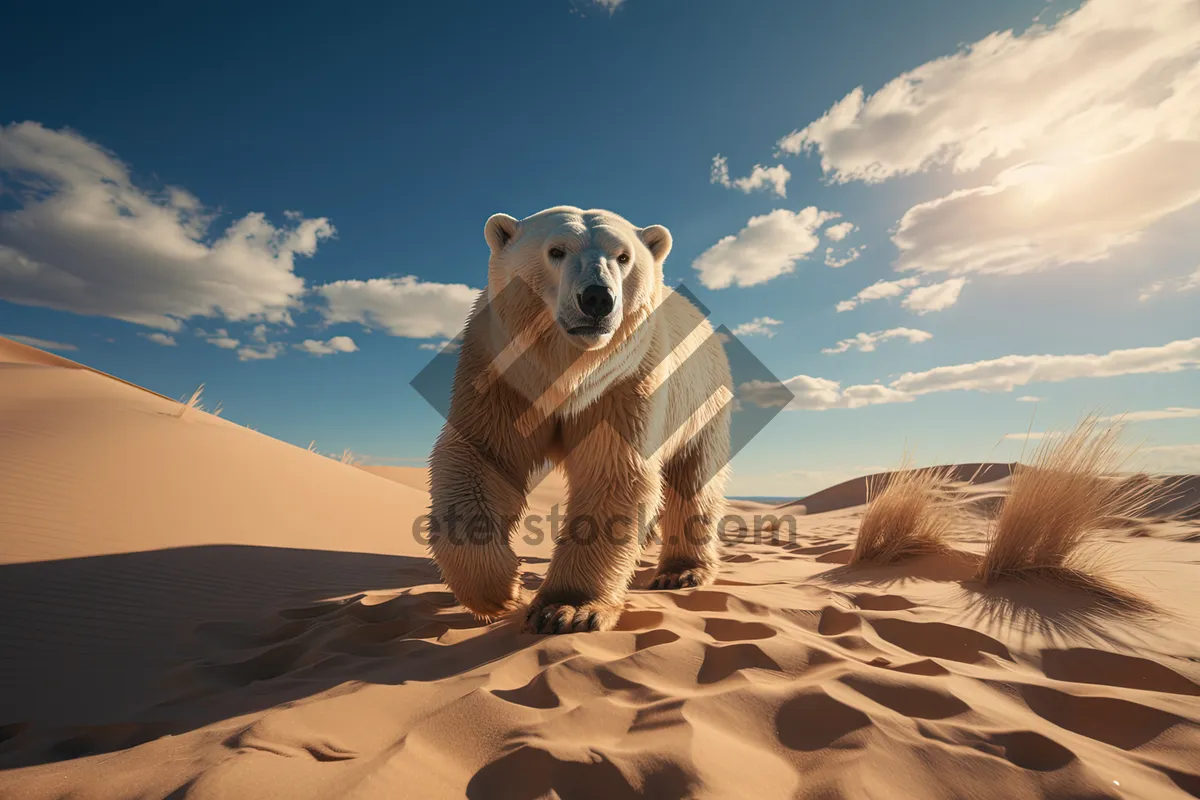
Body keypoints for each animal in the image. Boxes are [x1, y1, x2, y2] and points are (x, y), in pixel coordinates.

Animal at [432, 209, 729, 633]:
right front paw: (498, 590)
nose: (597, 298)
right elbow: (483, 458)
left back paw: (682, 571)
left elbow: (612, 470)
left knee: (695, 476)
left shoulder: (625, 381)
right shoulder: (502, 374)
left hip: (701, 402)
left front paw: (566, 609)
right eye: (556, 250)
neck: (568, 372)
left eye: (623, 256)